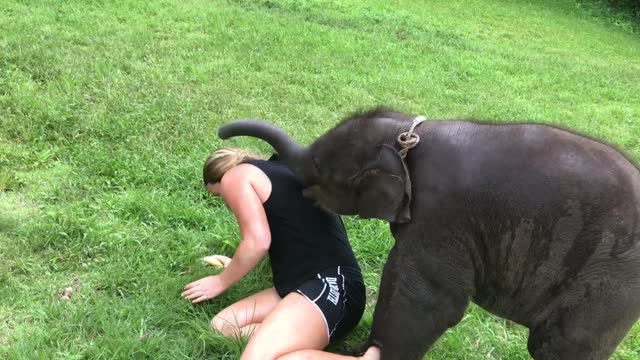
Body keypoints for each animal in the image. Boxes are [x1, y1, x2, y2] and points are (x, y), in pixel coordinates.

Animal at [218, 107, 636, 360]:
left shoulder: (442, 216)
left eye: (320, 166)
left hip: (608, 280)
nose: (223, 133)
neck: (409, 133)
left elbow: (427, 299)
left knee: (557, 344)